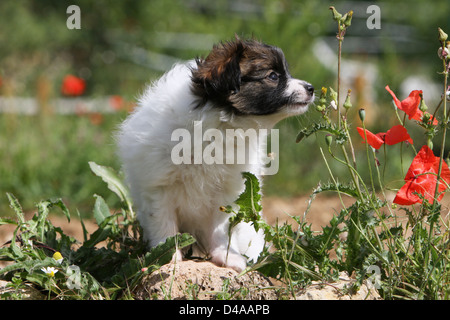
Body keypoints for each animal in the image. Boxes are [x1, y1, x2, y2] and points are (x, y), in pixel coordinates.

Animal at [116, 38, 312, 272]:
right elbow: (164, 224)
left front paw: (226, 256)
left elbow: (220, 227)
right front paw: (168, 256)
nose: (311, 88)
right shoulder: (158, 186)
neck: (221, 126)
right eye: (273, 76)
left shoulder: (226, 192)